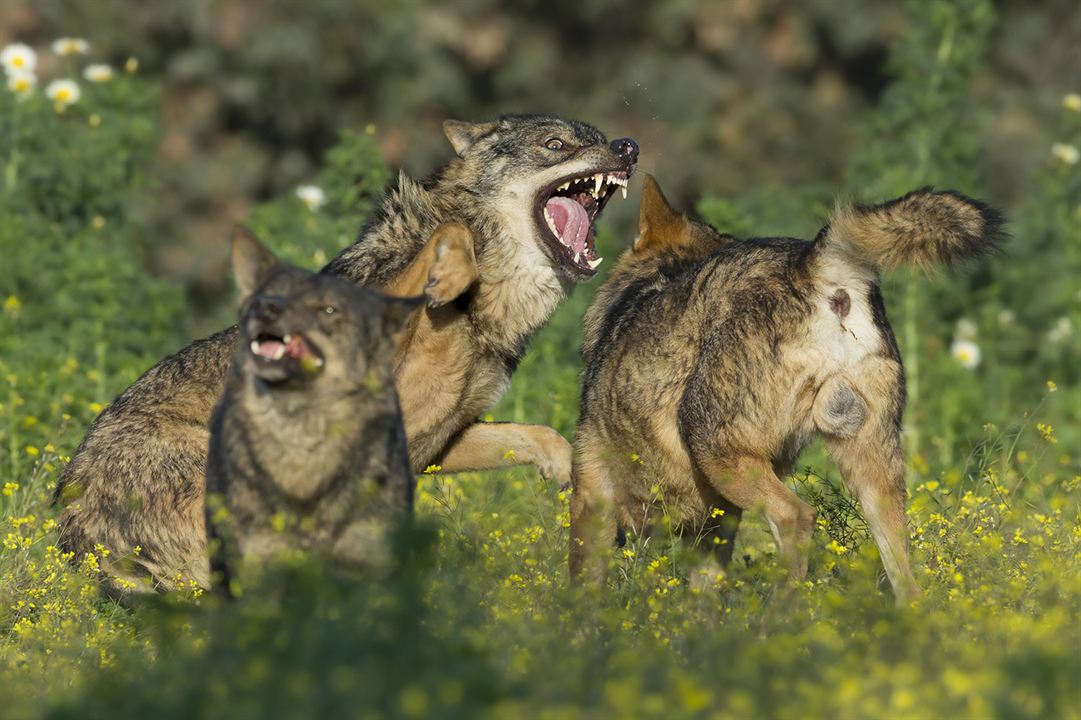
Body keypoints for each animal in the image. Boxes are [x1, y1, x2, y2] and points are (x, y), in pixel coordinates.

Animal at [570, 174, 998, 601]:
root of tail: (809, 263)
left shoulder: (592, 495)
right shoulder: (717, 521)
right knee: (907, 583)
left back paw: (780, 611)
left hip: (719, 453)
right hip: (872, 480)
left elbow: (582, 585)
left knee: (798, 517)